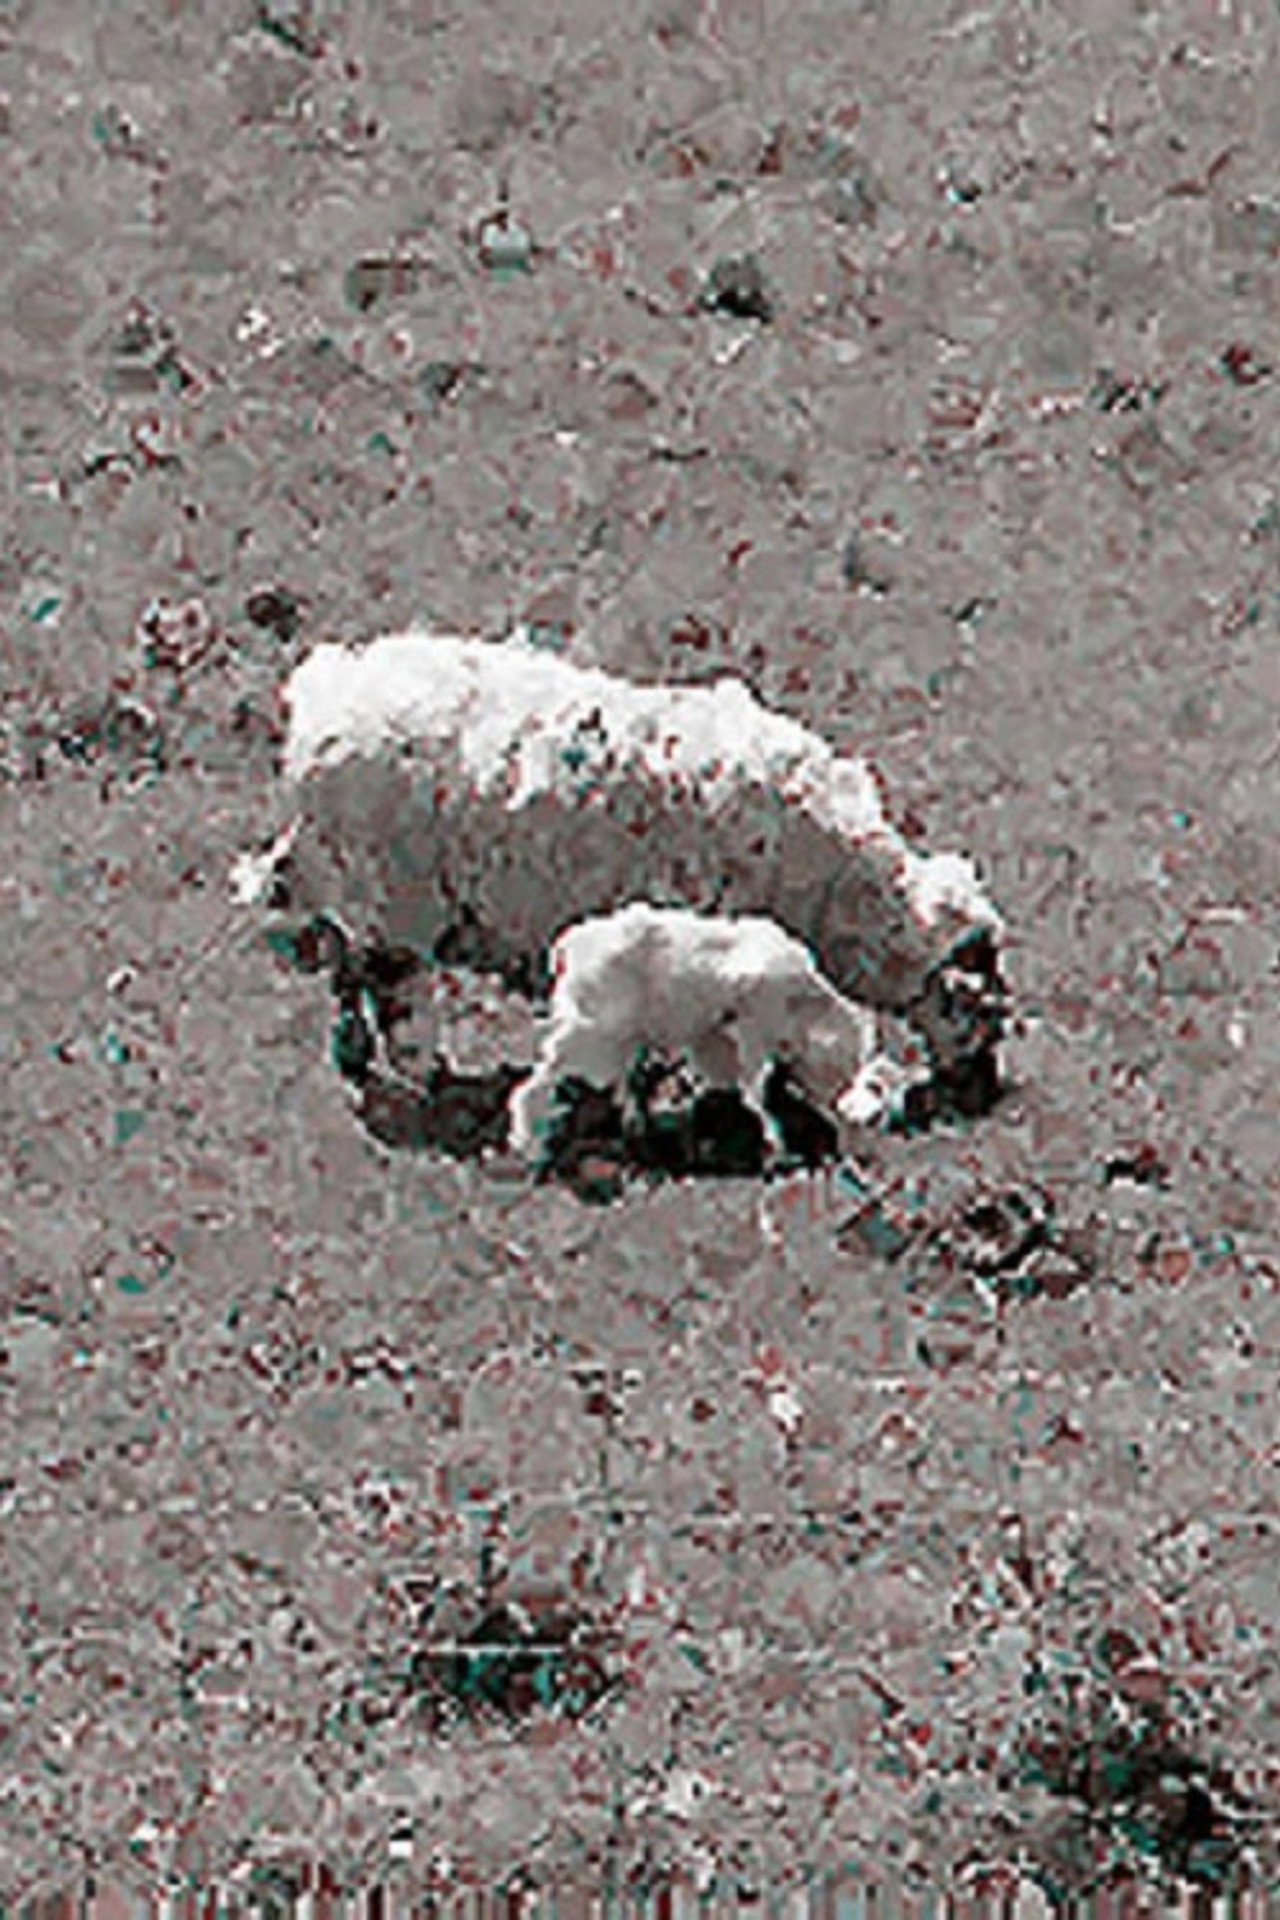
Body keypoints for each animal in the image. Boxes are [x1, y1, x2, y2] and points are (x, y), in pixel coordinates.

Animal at [233, 628, 1006, 1083]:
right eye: (980, 1002)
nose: (977, 1091)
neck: (843, 886)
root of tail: (318, 708)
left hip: (354, 880)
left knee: (348, 961)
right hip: (400, 895)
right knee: (391, 979)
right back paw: (421, 1067)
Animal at [507, 903, 879, 1167]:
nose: (859, 1156)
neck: (802, 1004)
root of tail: (568, 948)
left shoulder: (719, 1037)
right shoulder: (753, 1031)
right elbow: (755, 1090)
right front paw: (777, 1147)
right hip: (592, 1032)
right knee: (544, 1074)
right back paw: (530, 1144)